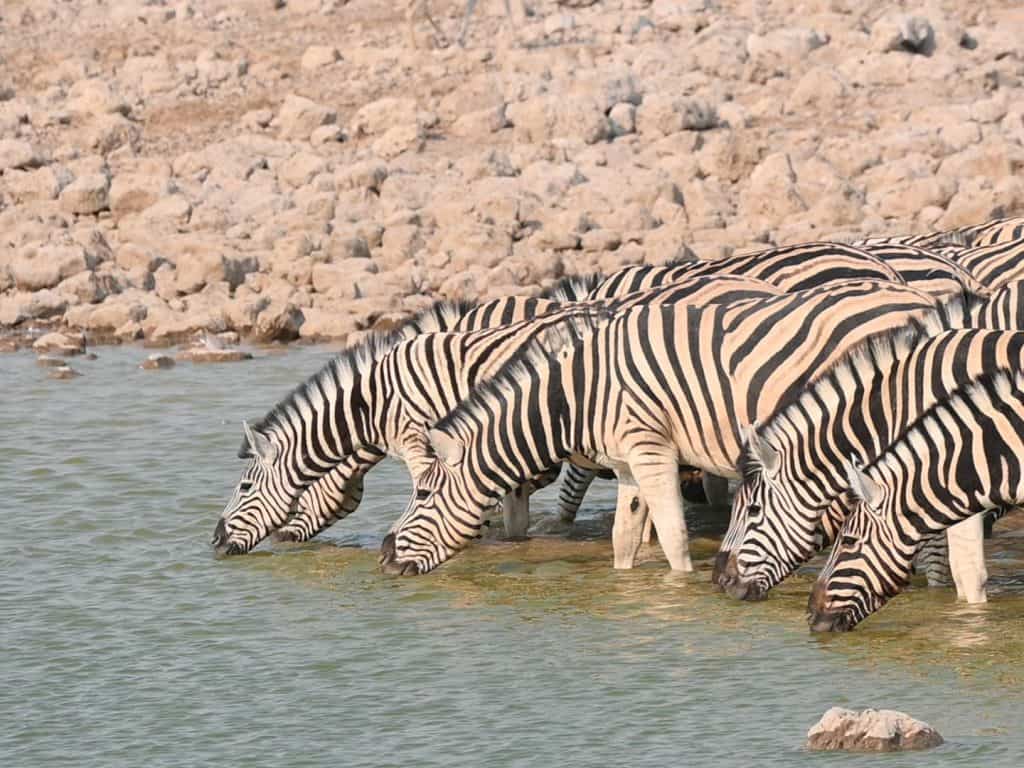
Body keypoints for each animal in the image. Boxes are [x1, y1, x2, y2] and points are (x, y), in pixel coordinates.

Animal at [379, 281, 972, 576]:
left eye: (423, 494)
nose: (384, 557)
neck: (578, 390)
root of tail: (923, 302)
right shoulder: (625, 463)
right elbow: (624, 536)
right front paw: (626, 585)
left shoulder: (650, 448)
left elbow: (671, 533)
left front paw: (679, 588)